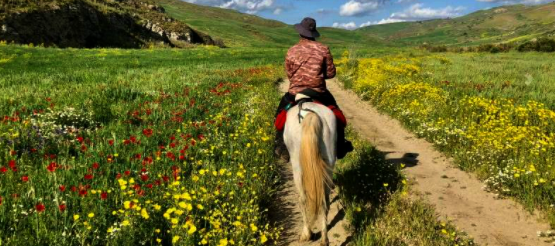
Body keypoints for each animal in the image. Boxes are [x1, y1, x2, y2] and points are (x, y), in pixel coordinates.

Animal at [284, 93, 336, 245]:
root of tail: (310, 114)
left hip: (297, 167)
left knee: (302, 199)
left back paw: (306, 234)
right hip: (329, 163)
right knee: (325, 200)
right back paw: (324, 239)